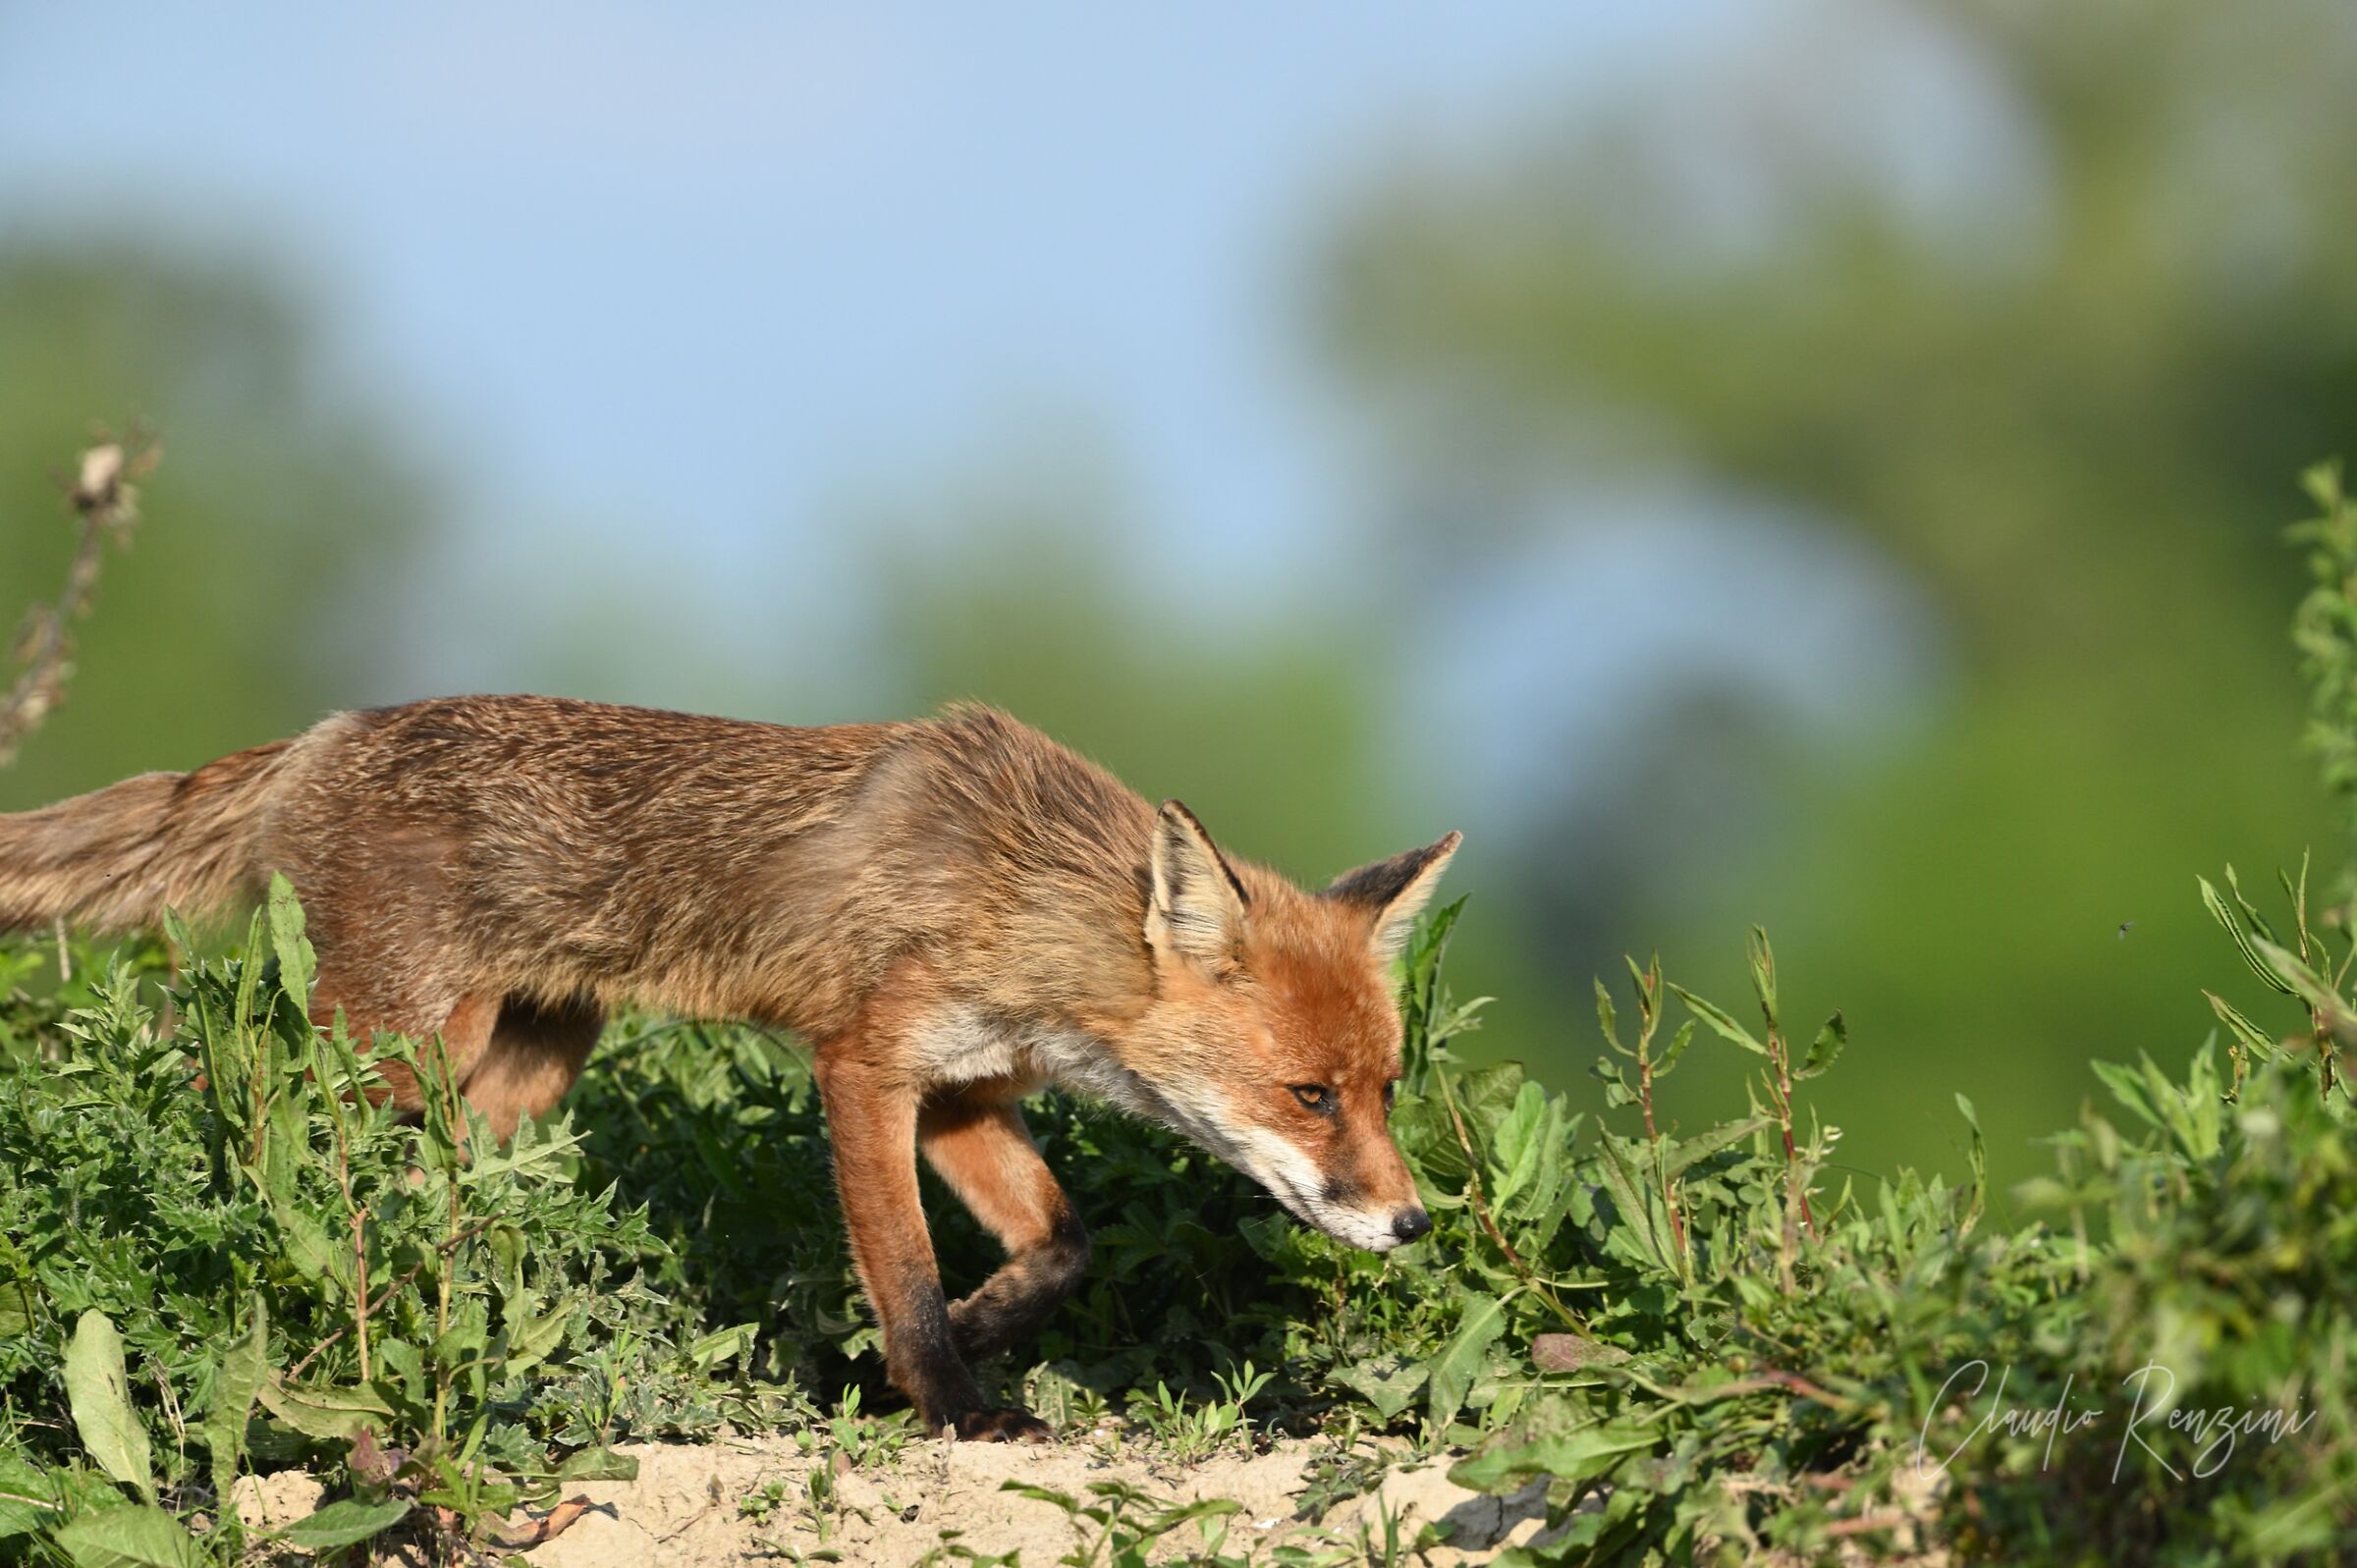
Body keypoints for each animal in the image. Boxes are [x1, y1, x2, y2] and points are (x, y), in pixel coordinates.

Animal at [0, 695, 1458, 1440]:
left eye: (1384, 1089)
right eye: (1309, 1094)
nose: (1412, 1222)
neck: (1016, 888)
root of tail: (319, 731)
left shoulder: (964, 1095)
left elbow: (1061, 1248)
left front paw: (948, 1346)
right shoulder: (863, 1067)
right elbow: (907, 1275)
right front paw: (954, 1405)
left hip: (517, 1065)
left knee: (447, 1184)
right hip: (387, 1048)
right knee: (230, 1108)